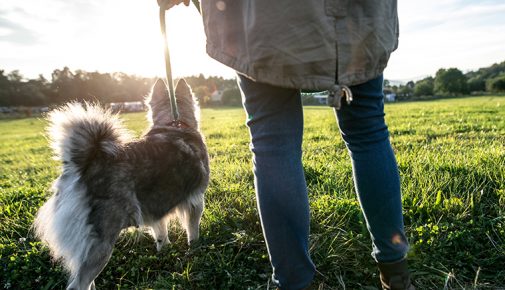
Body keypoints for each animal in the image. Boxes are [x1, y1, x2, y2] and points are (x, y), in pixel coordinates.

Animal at [32, 79, 209, 290]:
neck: (175, 125)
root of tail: (84, 166)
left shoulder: (154, 210)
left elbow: (160, 234)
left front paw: (164, 250)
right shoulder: (196, 201)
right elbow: (193, 230)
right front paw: (195, 248)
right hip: (101, 244)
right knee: (78, 283)